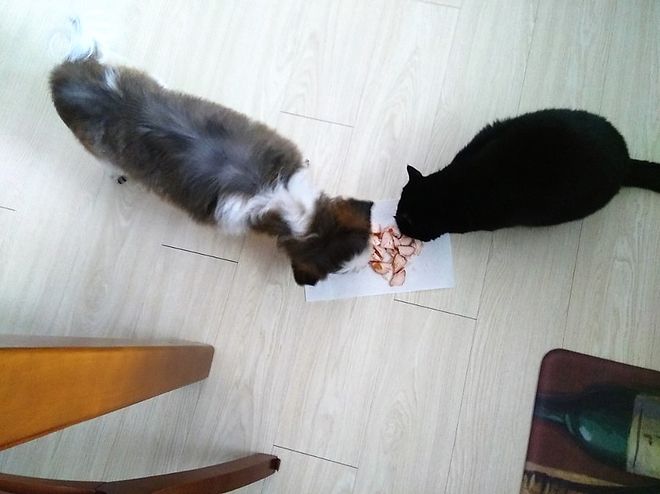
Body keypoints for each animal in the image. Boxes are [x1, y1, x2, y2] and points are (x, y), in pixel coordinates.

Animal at [49, 18, 373, 286]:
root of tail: (67, 73)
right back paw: (116, 174)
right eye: (343, 271)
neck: (281, 196)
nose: (365, 266)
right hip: (97, 149)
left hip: (130, 72)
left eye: (367, 247)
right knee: (108, 163)